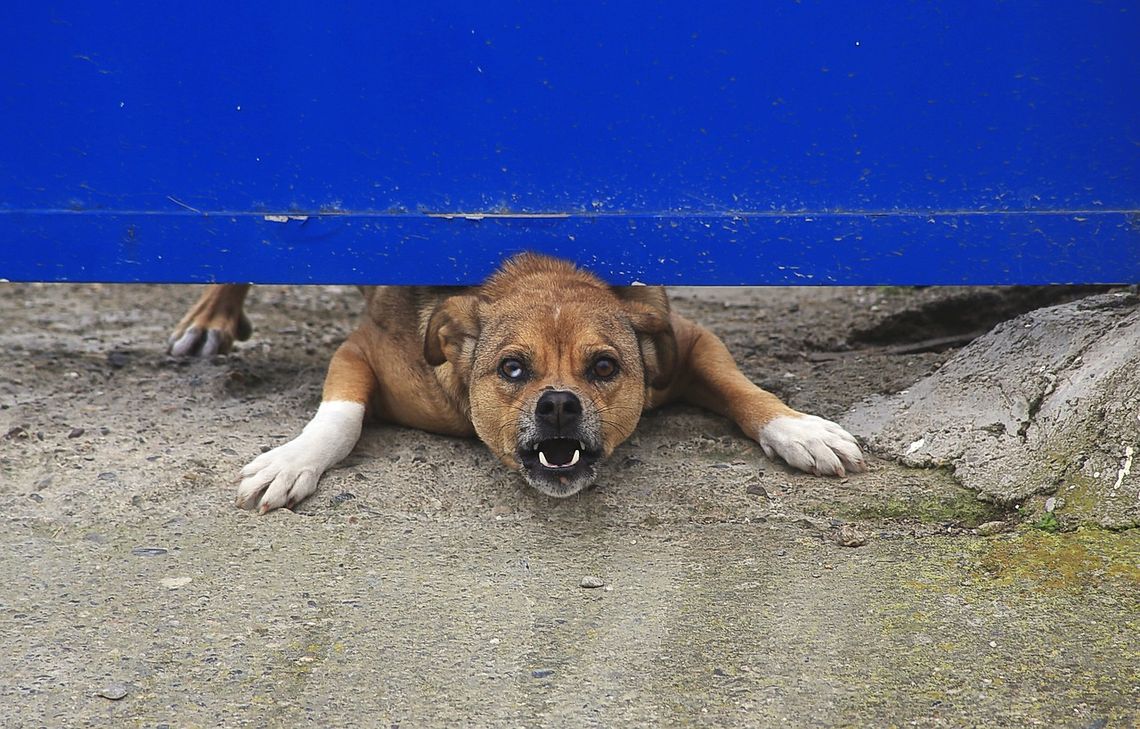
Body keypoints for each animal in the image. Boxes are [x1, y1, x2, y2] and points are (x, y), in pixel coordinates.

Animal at [168, 256, 861, 513]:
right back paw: (210, 319)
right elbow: (339, 417)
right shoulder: (362, 350)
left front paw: (799, 430)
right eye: (512, 369)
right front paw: (293, 461)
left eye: (604, 368)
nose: (557, 405)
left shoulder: (686, 340)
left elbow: (744, 389)